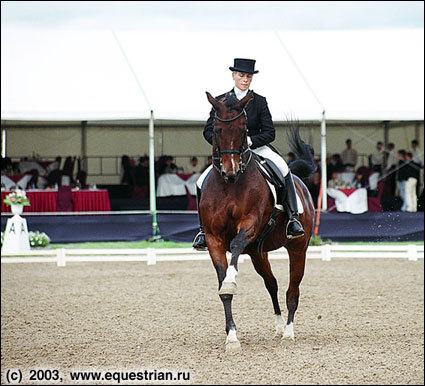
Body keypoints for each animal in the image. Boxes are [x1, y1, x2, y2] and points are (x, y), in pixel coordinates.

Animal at [199, 90, 314, 352]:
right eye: (217, 129)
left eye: (243, 130)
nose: (230, 171)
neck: (229, 186)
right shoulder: (212, 238)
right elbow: (224, 291)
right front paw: (231, 337)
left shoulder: (250, 224)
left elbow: (235, 246)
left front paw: (231, 280)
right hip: (258, 253)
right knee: (272, 284)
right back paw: (279, 327)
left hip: (298, 248)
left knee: (293, 290)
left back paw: (288, 333)